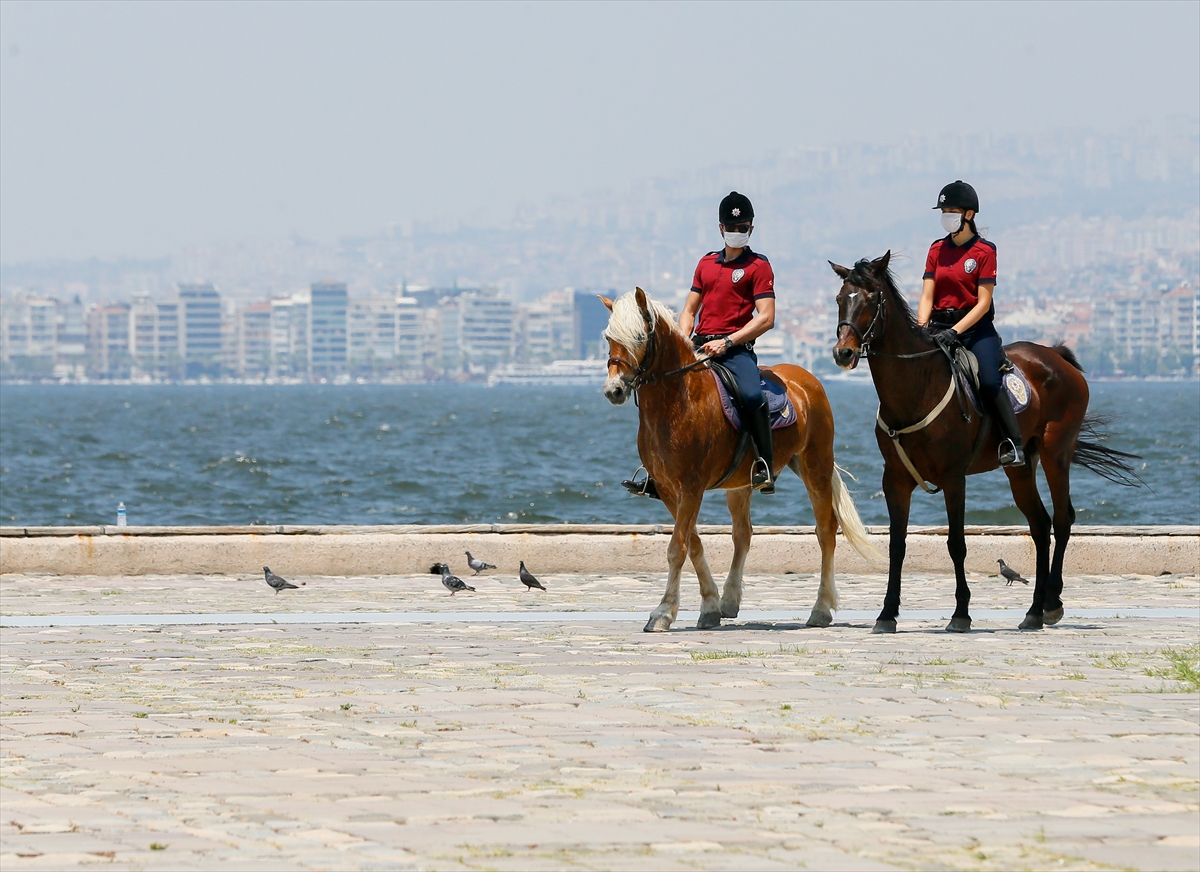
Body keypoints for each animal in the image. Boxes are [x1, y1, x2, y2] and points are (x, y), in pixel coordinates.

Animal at [604, 290, 878, 633]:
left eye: (639, 337)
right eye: (608, 337)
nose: (613, 390)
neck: (678, 400)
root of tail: (805, 377)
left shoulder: (691, 487)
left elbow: (678, 547)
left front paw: (663, 612)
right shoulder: (668, 489)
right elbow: (694, 544)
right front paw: (709, 606)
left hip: (815, 464)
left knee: (825, 530)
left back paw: (821, 609)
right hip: (741, 482)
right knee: (743, 534)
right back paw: (730, 601)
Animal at [830, 251, 1137, 633]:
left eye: (872, 299)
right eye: (840, 299)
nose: (843, 353)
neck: (916, 385)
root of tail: (1055, 356)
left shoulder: (953, 478)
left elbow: (957, 544)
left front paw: (961, 613)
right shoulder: (895, 480)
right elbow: (896, 546)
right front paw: (887, 614)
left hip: (1056, 454)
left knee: (1063, 519)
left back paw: (1052, 603)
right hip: (1021, 467)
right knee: (1040, 525)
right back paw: (1034, 611)